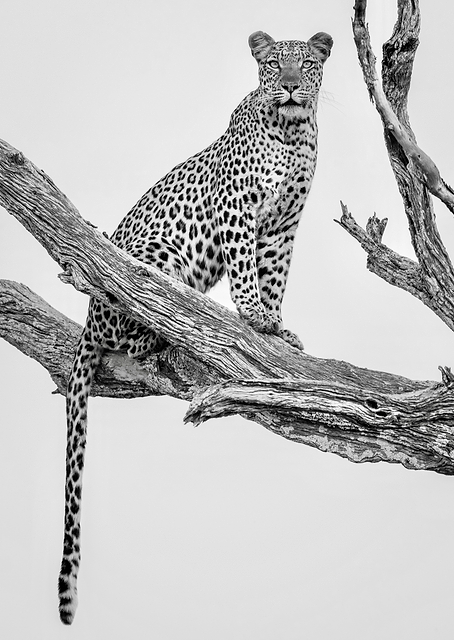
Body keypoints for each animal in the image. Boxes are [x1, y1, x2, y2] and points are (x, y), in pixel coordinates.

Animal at [58, 29, 333, 624]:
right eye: (274, 65)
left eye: (306, 64)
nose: (289, 87)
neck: (293, 132)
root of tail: (87, 320)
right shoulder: (239, 210)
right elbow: (246, 269)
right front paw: (252, 316)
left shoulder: (283, 227)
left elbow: (275, 276)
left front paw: (276, 328)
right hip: (152, 261)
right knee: (138, 316)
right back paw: (162, 328)